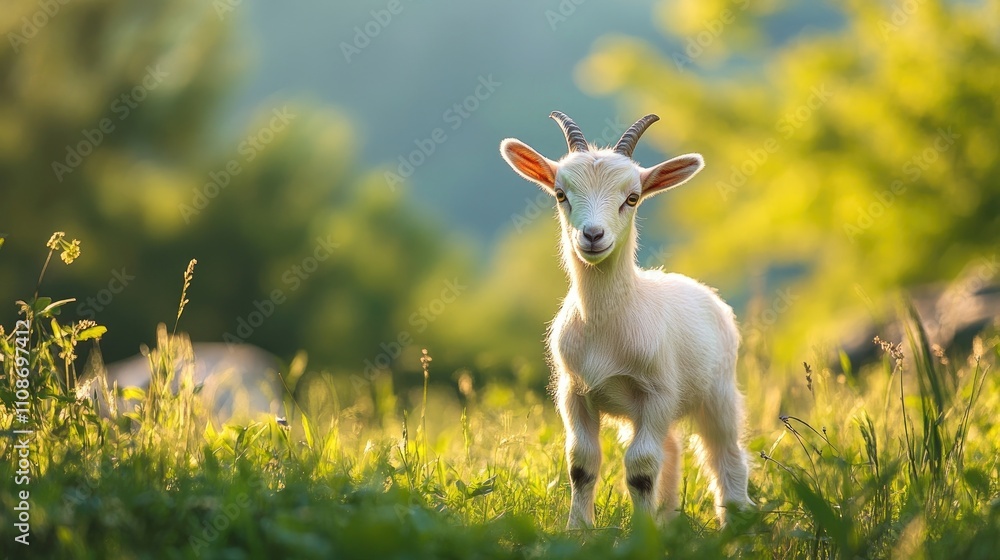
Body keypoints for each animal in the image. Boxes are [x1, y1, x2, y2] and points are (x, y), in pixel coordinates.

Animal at [499, 112, 753, 528]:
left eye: (631, 198)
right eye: (560, 194)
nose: (592, 235)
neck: (606, 326)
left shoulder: (658, 391)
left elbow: (641, 468)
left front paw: (641, 533)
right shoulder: (574, 391)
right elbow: (582, 462)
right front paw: (579, 529)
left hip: (717, 391)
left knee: (724, 452)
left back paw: (738, 520)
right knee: (672, 448)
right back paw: (669, 520)